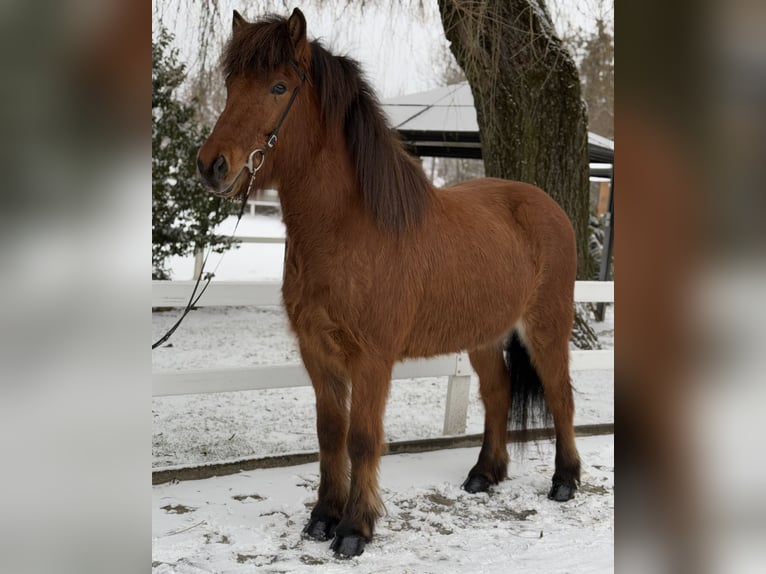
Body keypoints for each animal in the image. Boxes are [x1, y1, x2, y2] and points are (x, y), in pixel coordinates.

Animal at [198, 7, 584, 560]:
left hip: (547, 328)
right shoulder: (318, 353)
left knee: (560, 396)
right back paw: (484, 475)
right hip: (484, 335)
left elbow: (362, 438)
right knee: (497, 392)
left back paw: (565, 481)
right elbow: (329, 433)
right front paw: (322, 517)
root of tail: (546, 205)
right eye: (231, 85)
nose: (212, 165)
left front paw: (355, 529)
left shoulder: (373, 358)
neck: (350, 229)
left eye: (278, 86)